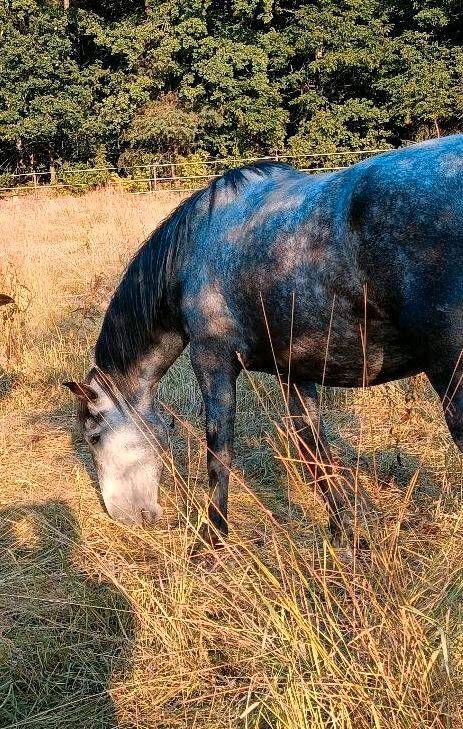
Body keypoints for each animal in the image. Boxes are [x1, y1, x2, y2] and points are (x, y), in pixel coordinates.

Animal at [67, 134, 463, 544]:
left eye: (93, 436)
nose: (124, 519)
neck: (194, 248)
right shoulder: (295, 372)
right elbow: (314, 451)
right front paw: (344, 534)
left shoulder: (212, 361)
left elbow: (220, 452)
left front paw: (213, 536)